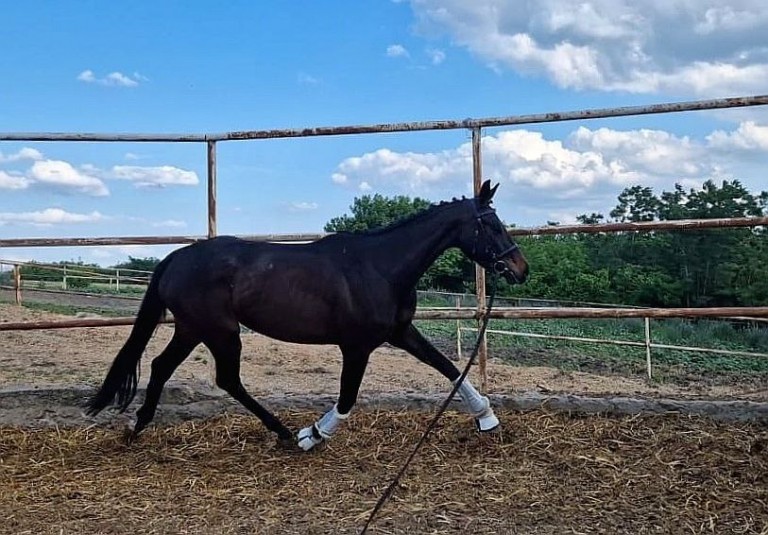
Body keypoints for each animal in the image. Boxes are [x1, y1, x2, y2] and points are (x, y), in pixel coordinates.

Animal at [85, 182, 528, 450]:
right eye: (491, 224)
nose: (519, 269)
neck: (381, 267)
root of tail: (177, 257)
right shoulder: (357, 346)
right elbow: (348, 397)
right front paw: (312, 435)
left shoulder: (400, 332)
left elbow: (449, 368)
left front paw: (487, 419)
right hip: (220, 331)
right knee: (226, 379)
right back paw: (284, 433)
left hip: (194, 328)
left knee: (162, 366)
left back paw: (136, 427)